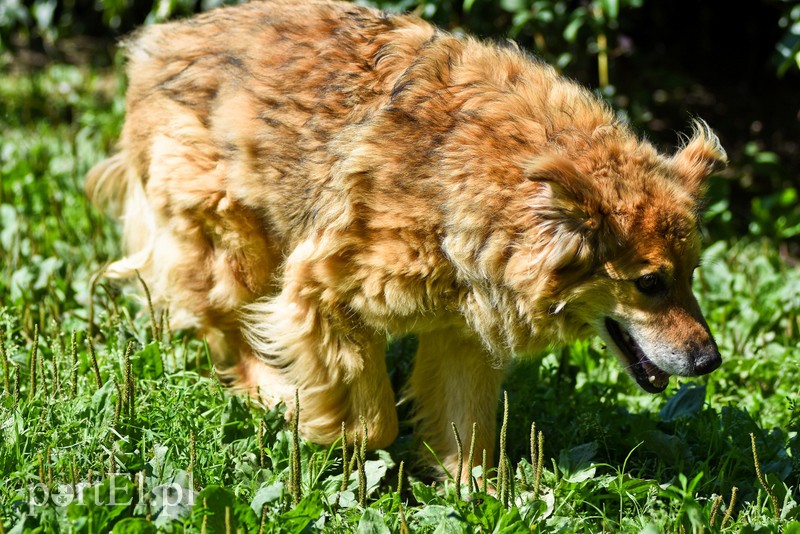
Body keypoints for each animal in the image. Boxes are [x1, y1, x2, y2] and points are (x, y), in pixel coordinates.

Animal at [87, 0, 724, 478]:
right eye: (649, 283)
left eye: (691, 275)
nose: (711, 361)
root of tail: (157, 42)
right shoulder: (320, 291)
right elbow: (375, 424)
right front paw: (313, 420)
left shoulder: (464, 330)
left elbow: (469, 441)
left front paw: (478, 500)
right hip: (235, 241)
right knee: (226, 334)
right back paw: (272, 392)